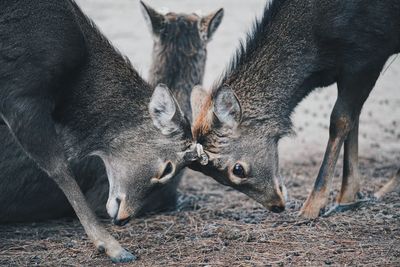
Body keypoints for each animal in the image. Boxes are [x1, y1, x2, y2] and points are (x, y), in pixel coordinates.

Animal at [189, 0, 398, 219]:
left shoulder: (369, 56)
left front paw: (313, 207)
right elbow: (353, 120)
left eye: (237, 169)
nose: (277, 206)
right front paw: (348, 197)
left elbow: (340, 121)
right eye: (218, 179)